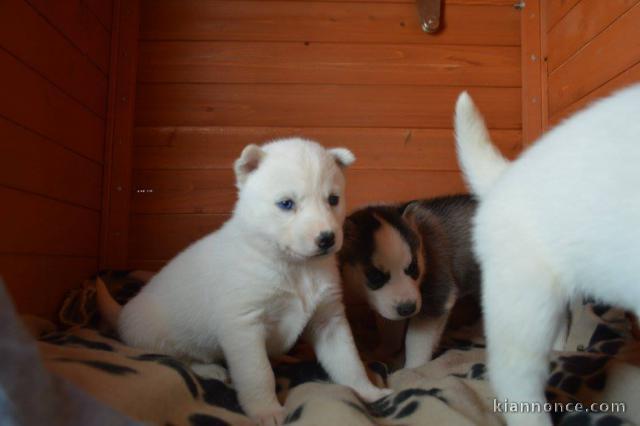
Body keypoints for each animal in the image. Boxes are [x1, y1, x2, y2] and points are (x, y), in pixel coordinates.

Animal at [98, 138, 392, 424]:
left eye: (333, 199)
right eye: (286, 204)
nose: (327, 238)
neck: (295, 267)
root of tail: (123, 313)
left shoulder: (329, 319)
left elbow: (349, 360)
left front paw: (369, 391)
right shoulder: (244, 326)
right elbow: (259, 373)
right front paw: (266, 411)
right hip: (157, 338)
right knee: (178, 359)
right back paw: (211, 369)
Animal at [340, 195, 480, 368]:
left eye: (413, 267)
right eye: (375, 276)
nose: (408, 309)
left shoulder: (436, 296)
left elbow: (416, 341)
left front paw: (412, 368)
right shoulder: (388, 308)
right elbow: (390, 331)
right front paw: (382, 352)